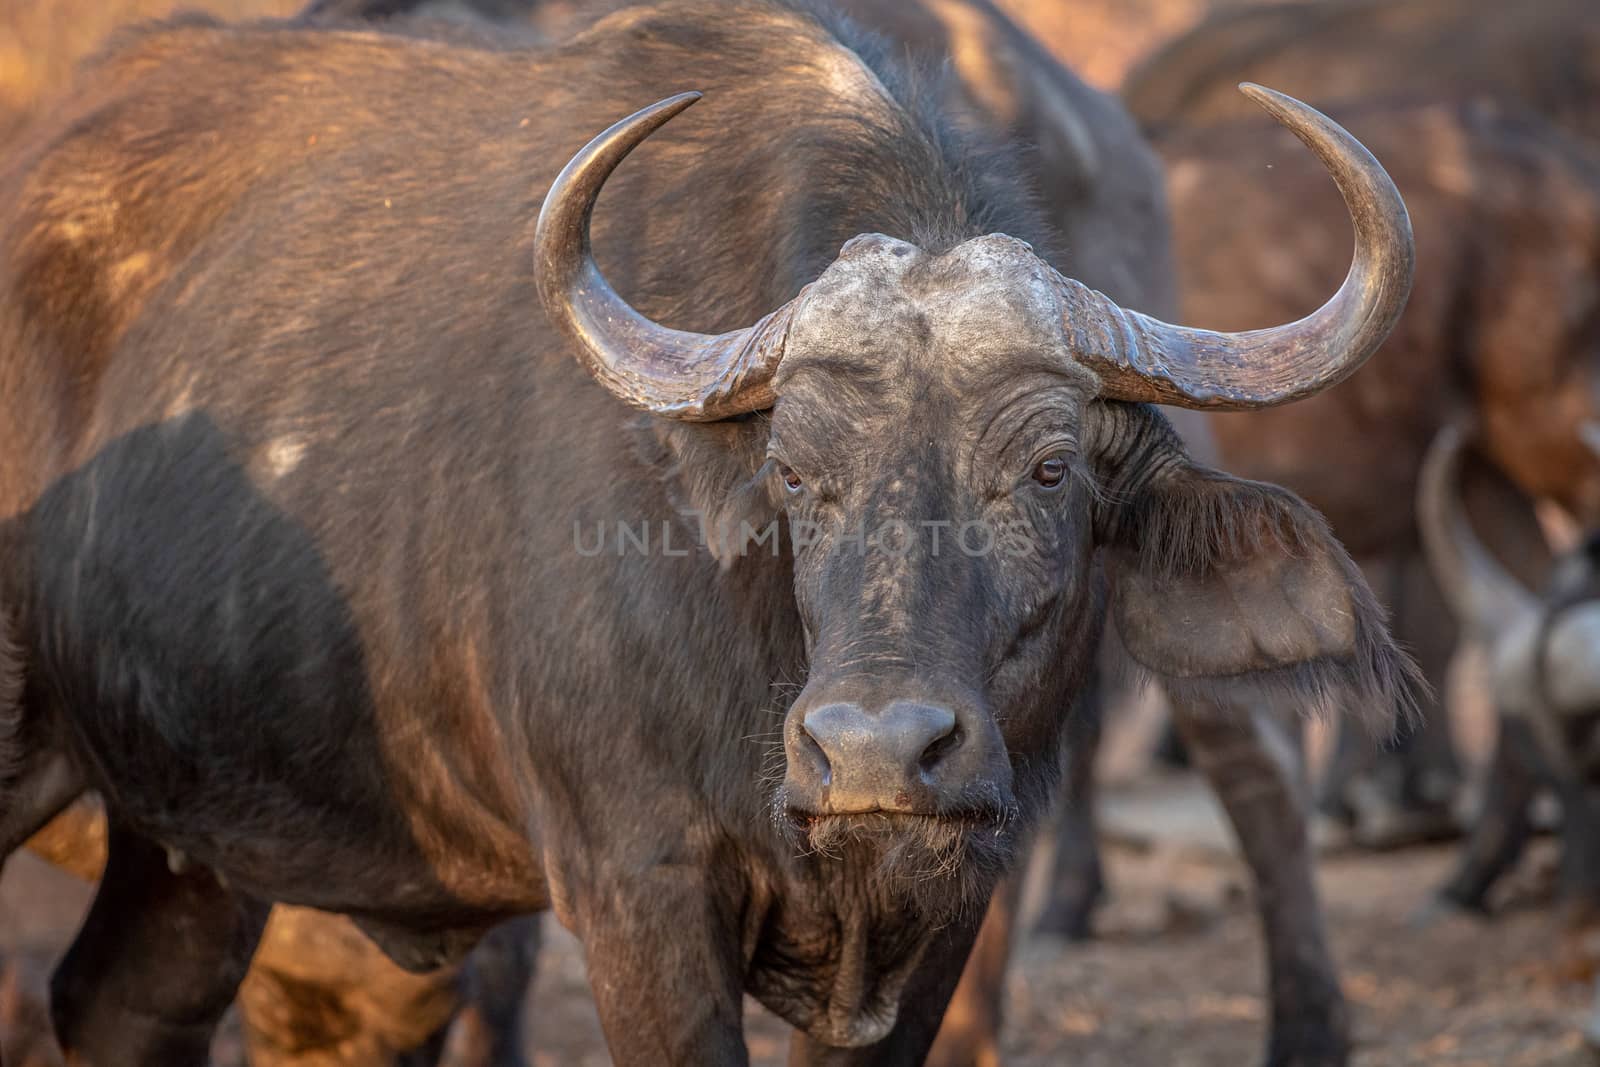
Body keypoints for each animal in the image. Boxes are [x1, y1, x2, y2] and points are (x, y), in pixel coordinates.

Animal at [0, 4, 1414, 1062]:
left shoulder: (945, 907)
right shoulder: (635, 889)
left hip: (194, 838)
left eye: (1050, 467)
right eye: (794, 473)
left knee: (123, 1004)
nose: (873, 751)